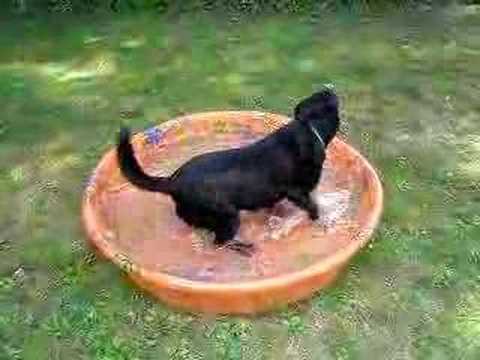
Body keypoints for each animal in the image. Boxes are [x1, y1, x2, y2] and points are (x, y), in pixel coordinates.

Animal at [117, 88, 340, 255]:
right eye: (328, 103)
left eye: (317, 96)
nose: (329, 89)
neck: (307, 130)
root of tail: (173, 181)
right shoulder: (295, 192)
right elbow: (313, 208)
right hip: (228, 215)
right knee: (220, 242)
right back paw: (243, 247)